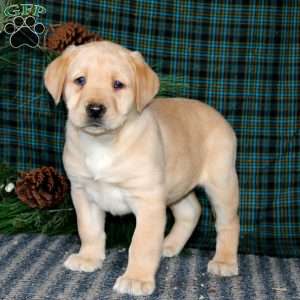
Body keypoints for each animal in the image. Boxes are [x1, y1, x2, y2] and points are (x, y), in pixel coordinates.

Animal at [44, 41, 239, 296]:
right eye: (80, 80)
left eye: (118, 84)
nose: (95, 109)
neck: (103, 143)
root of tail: (217, 115)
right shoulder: (82, 193)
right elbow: (89, 229)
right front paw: (88, 258)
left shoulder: (149, 201)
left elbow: (142, 244)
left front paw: (136, 278)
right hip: (176, 186)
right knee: (191, 211)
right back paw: (168, 245)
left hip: (222, 184)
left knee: (228, 222)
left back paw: (224, 261)